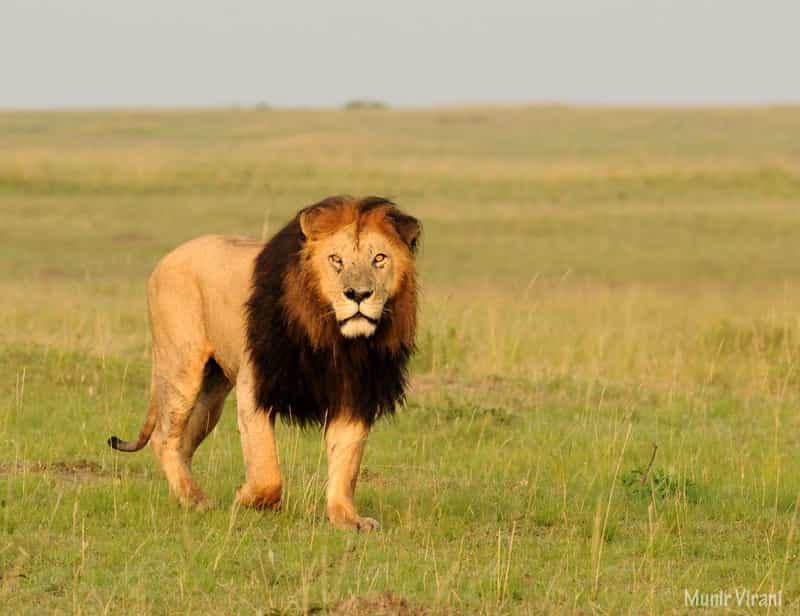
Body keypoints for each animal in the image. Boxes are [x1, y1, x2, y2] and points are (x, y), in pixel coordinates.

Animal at [108, 196, 420, 530]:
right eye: (336, 259)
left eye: (379, 258)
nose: (359, 294)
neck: (334, 338)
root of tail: (168, 257)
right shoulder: (255, 385)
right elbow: (266, 471)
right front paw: (245, 498)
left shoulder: (353, 394)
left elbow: (346, 465)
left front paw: (348, 518)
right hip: (181, 367)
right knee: (164, 438)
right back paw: (197, 500)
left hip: (211, 395)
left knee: (183, 443)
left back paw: (184, 498)